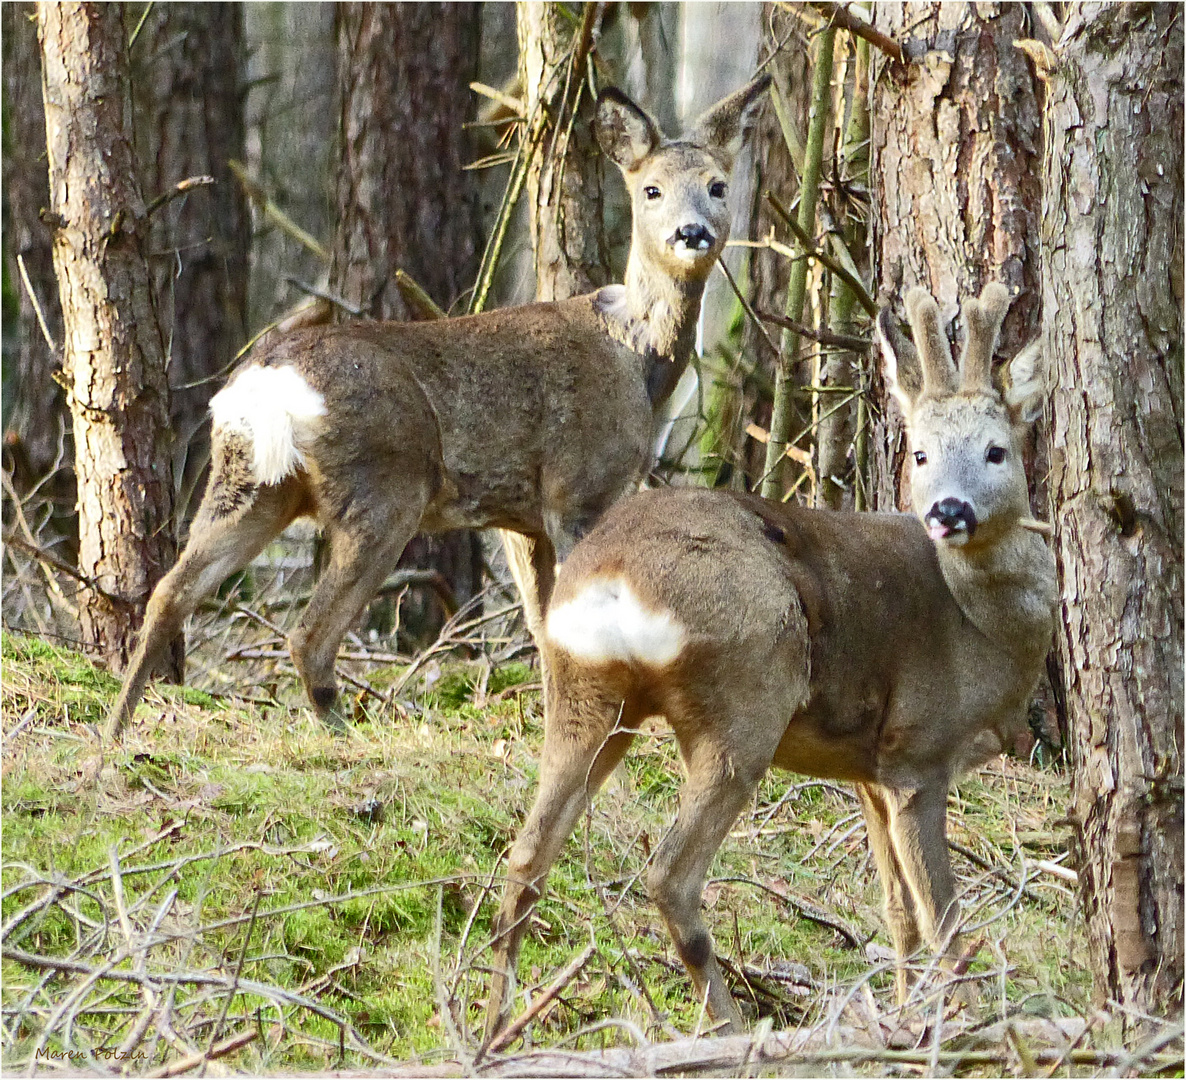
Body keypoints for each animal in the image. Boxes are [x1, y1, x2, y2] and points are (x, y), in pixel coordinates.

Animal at [109, 73, 768, 735]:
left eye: (717, 185)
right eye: (651, 189)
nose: (691, 232)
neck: (638, 360)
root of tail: (268, 381)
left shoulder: (521, 518)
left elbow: (543, 626)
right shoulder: (580, 487)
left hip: (249, 479)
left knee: (171, 591)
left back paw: (116, 729)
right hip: (382, 486)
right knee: (307, 633)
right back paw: (345, 733)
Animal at [481, 280, 1057, 1038]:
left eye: (996, 451)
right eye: (921, 454)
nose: (949, 512)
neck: (986, 632)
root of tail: (610, 576)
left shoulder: (866, 768)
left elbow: (898, 913)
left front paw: (906, 1015)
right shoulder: (916, 752)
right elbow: (942, 921)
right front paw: (957, 1023)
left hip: (585, 690)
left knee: (526, 855)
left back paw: (493, 1027)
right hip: (746, 695)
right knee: (669, 873)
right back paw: (727, 1028)